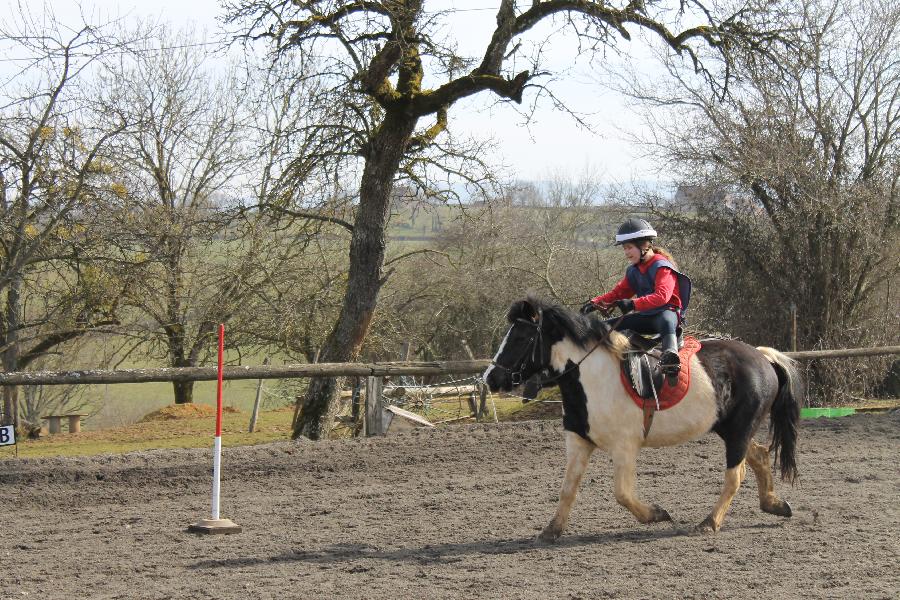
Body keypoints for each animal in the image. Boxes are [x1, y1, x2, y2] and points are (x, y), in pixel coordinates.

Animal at [486, 298, 800, 536]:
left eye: (521, 337)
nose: (491, 378)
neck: (593, 378)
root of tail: (762, 356)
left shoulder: (624, 447)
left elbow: (622, 493)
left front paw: (656, 514)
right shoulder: (578, 441)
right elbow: (568, 488)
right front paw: (552, 530)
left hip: (738, 430)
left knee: (735, 475)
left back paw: (710, 522)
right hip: (730, 429)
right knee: (759, 455)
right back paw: (774, 504)